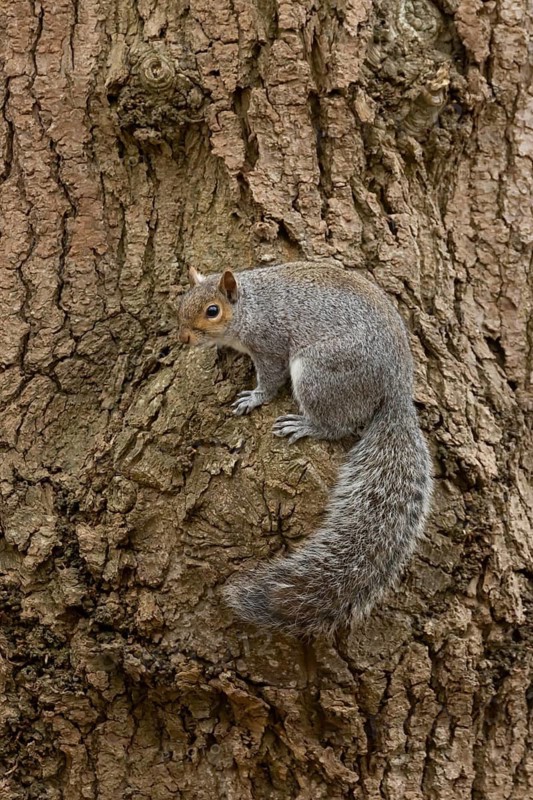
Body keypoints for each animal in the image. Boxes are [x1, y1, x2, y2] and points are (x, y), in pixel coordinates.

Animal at [178, 261, 433, 638]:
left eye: (213, 311)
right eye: (183, 301)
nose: (185, 337)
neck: (251, 306)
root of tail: (397, 391)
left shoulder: (269, 345)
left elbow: (270, 380)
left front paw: (254, 398)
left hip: (320, 374)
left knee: (337, 425)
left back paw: (305, 425)